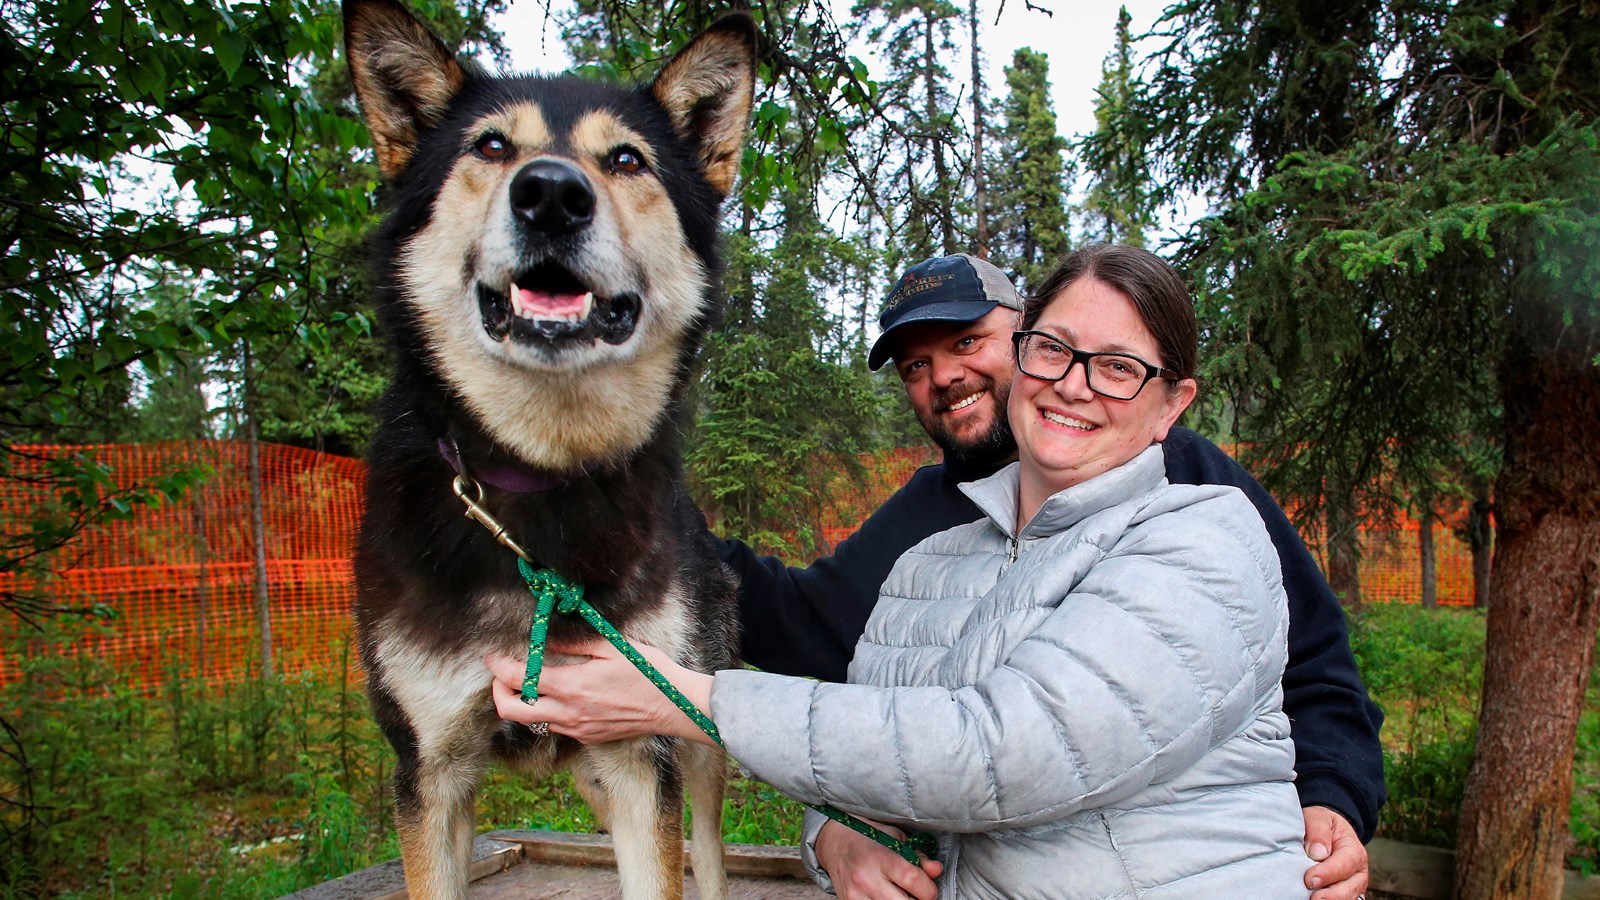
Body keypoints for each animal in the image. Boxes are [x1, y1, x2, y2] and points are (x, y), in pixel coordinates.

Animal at [344, 3, 755, 890]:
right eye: (491, 146)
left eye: (627, 159)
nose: (552, 195)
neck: (540, 478)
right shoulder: (429, 773)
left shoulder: (640, 754)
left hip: (694, 740)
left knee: (707, 855)